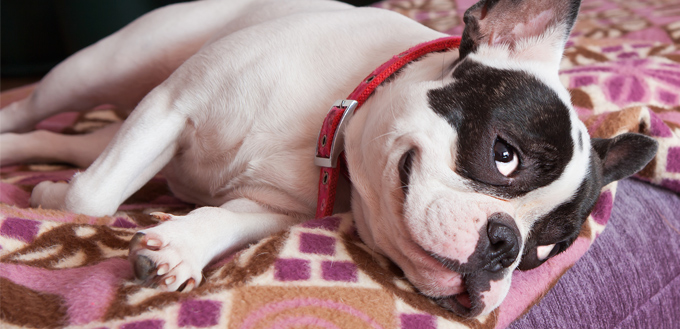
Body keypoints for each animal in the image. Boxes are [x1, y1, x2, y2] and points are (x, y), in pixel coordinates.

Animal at [1, 0, 660, 316]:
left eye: (544, 254)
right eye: (504, 156)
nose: (505, 245)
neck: (333, 121)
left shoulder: (273, 210)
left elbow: (224, 222)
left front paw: (179, 246)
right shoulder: (172, 104)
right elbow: (93, 196)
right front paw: (57, 198)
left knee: (70, 144)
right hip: (98, 70)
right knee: (40, 112)